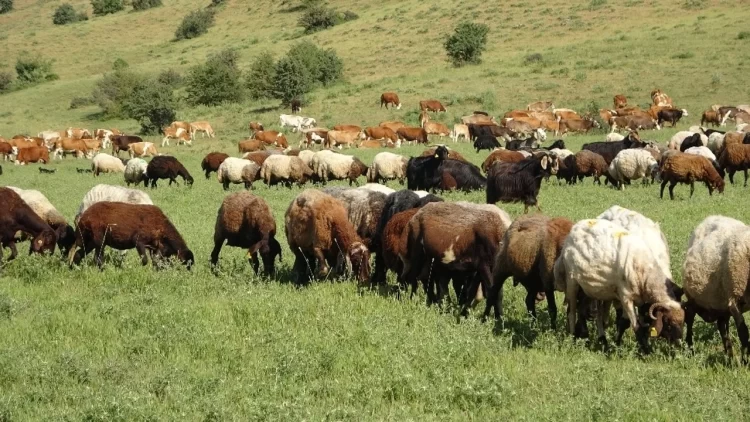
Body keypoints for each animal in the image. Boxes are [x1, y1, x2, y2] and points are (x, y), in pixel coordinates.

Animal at [556, 218, 684, 352]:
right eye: (668, 323)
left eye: (682, 322)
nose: (679, 345)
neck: (646, 274)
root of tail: (576, 227)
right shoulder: (625, 297)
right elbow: (635, 326)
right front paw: (645, 351)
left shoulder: (641, 301)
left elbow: (639, 325)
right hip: (572, 281)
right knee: (572, 312)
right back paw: (572, 337)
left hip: (588, 287)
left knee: (583, 310)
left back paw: (590, 337)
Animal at [684, 214, 750, 356]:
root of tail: (710, 217)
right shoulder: (734, 299)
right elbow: (743, 334)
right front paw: (745, 360)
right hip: (695, 297)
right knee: (689, 317)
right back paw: (691, 349)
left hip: (720, 301)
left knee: (721, 325)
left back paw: (729, 355)